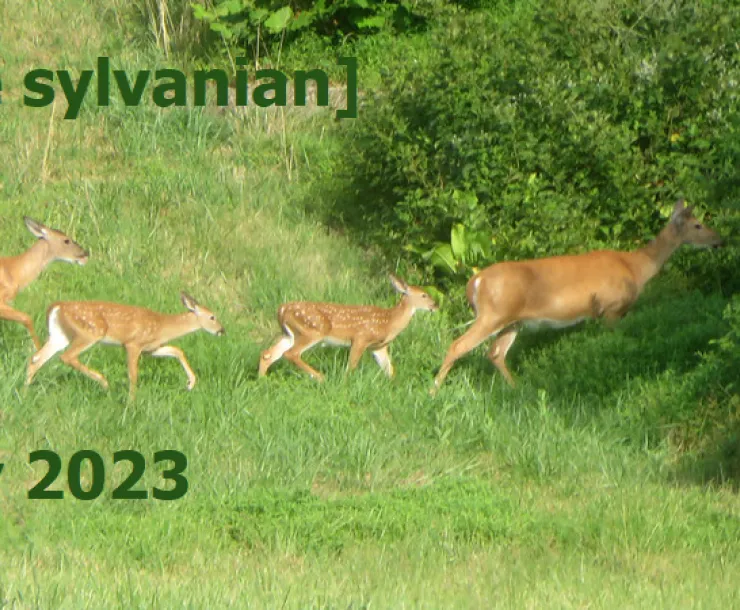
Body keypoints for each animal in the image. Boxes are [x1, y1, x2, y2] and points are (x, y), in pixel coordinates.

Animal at [25, 292, 225, 400]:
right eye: (212, 317)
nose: (222, 330)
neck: (162, 326)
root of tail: (57, 306)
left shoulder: (151, 348)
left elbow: (177, 350)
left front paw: (190, 383)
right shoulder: (132, 343)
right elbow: (133, 374)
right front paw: (131, 402)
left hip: (61, 335)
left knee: (37, 357)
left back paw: (25, 390)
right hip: (90, 332)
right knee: (66, 356)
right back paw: (104, 382)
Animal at [259, 274, 438, 381]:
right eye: (424, 295)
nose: (435, 305)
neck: (389, 322)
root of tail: (282, 309)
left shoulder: (378, 347)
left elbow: (389, 370)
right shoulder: (361, 338)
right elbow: (351, 366)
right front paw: (345, 384)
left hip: (289, 334)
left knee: (268, 354)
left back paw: (261, 380)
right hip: (313, 331)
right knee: (291, 354)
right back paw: (320, 377)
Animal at [432, 199, 723, 392]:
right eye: (698, 225)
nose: (720, 240)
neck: (635, 267)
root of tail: (475, 281)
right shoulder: (612, 308)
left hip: (511, 320)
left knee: (495, 353)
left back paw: (518, 389)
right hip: (492, 314)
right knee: (458, 345)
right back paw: (434, 390)